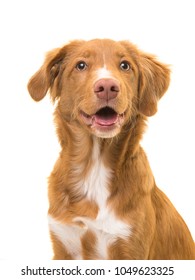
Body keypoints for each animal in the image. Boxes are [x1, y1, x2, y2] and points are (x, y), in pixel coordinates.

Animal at [27, 38, 195, 260]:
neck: (94, 167)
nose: (107, 86)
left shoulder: (129, 247)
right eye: (81, 65)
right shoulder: (63, 245)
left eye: (125, 65)